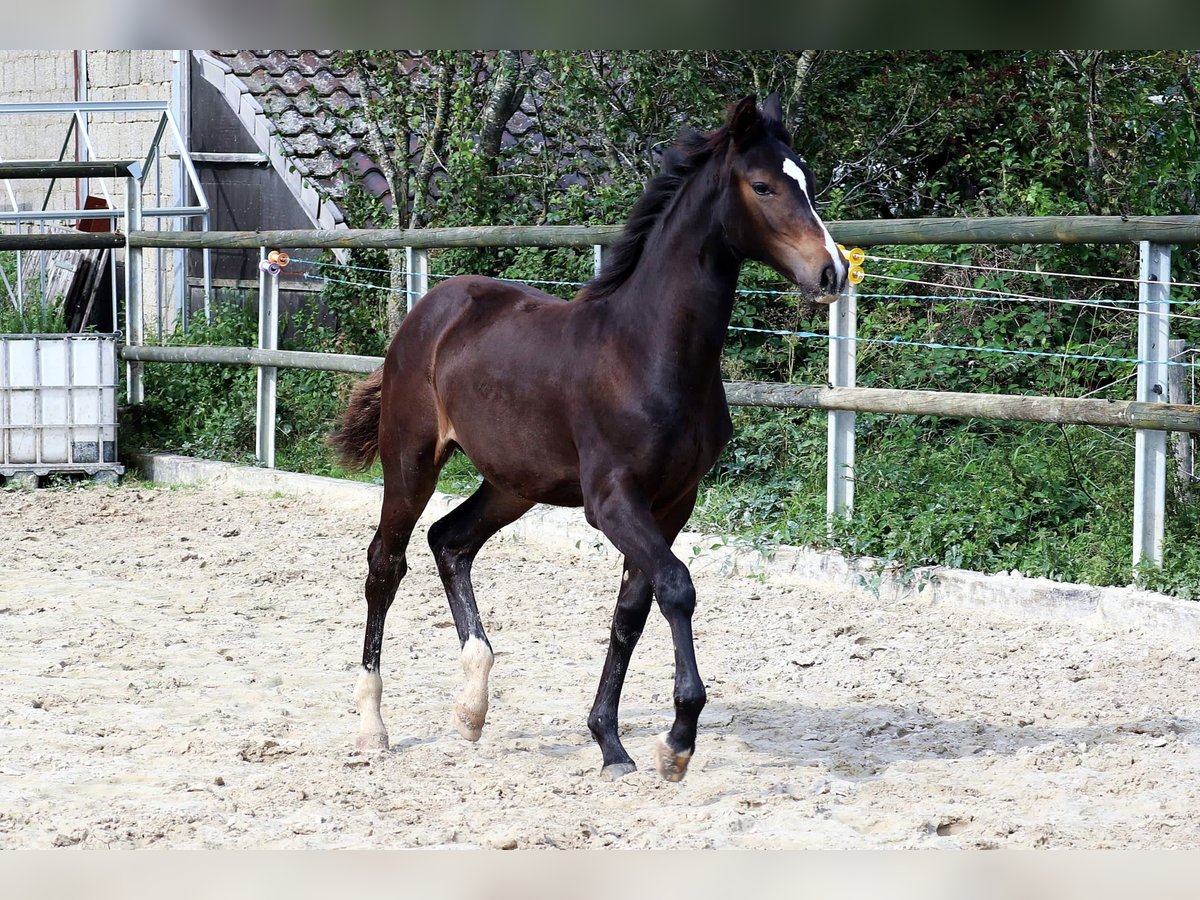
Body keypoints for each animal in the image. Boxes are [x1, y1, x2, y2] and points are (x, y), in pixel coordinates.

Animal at [333, 93, 849, 782]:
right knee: (385, 563)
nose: (832, 271)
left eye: (809, 182)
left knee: (451, 541)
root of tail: (429, 310)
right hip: (412, 459)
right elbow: (677, 587)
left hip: (513, 482)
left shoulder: (671, 502)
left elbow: (632, 611)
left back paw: (471, 707)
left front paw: (611, 743)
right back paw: (372, 726)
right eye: (763, 185)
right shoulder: (611, 500)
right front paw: (676, 743)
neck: (649, 351)